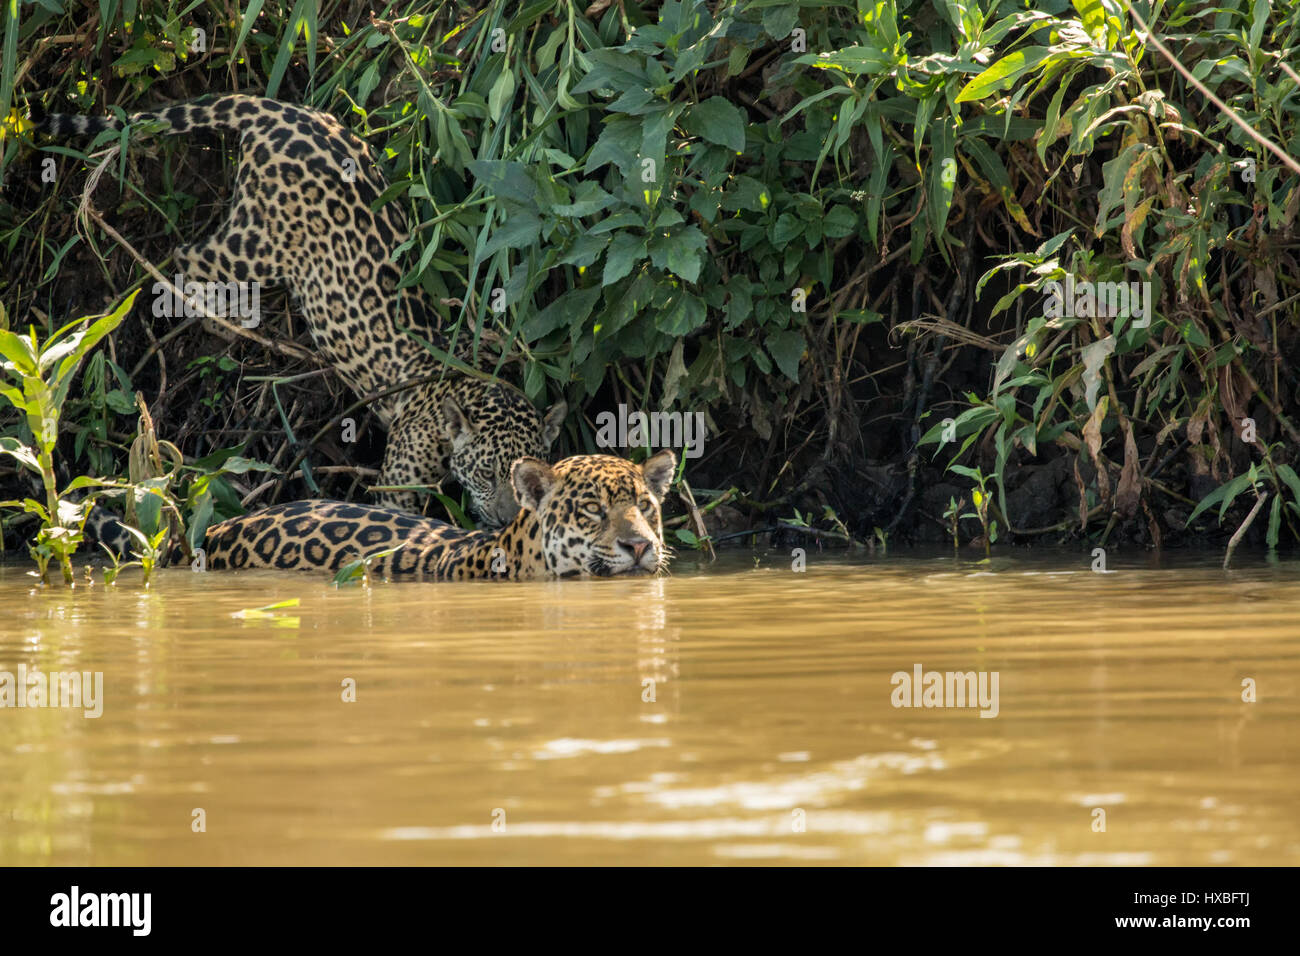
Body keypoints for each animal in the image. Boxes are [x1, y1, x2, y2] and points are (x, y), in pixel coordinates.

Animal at [34, 94, 565, 526]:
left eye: (521, 476)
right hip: (252, 246)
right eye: (486, 473)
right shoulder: (399, 481)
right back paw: (219, 318)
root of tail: (277, 110)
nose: (505, 518)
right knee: (188, 255)